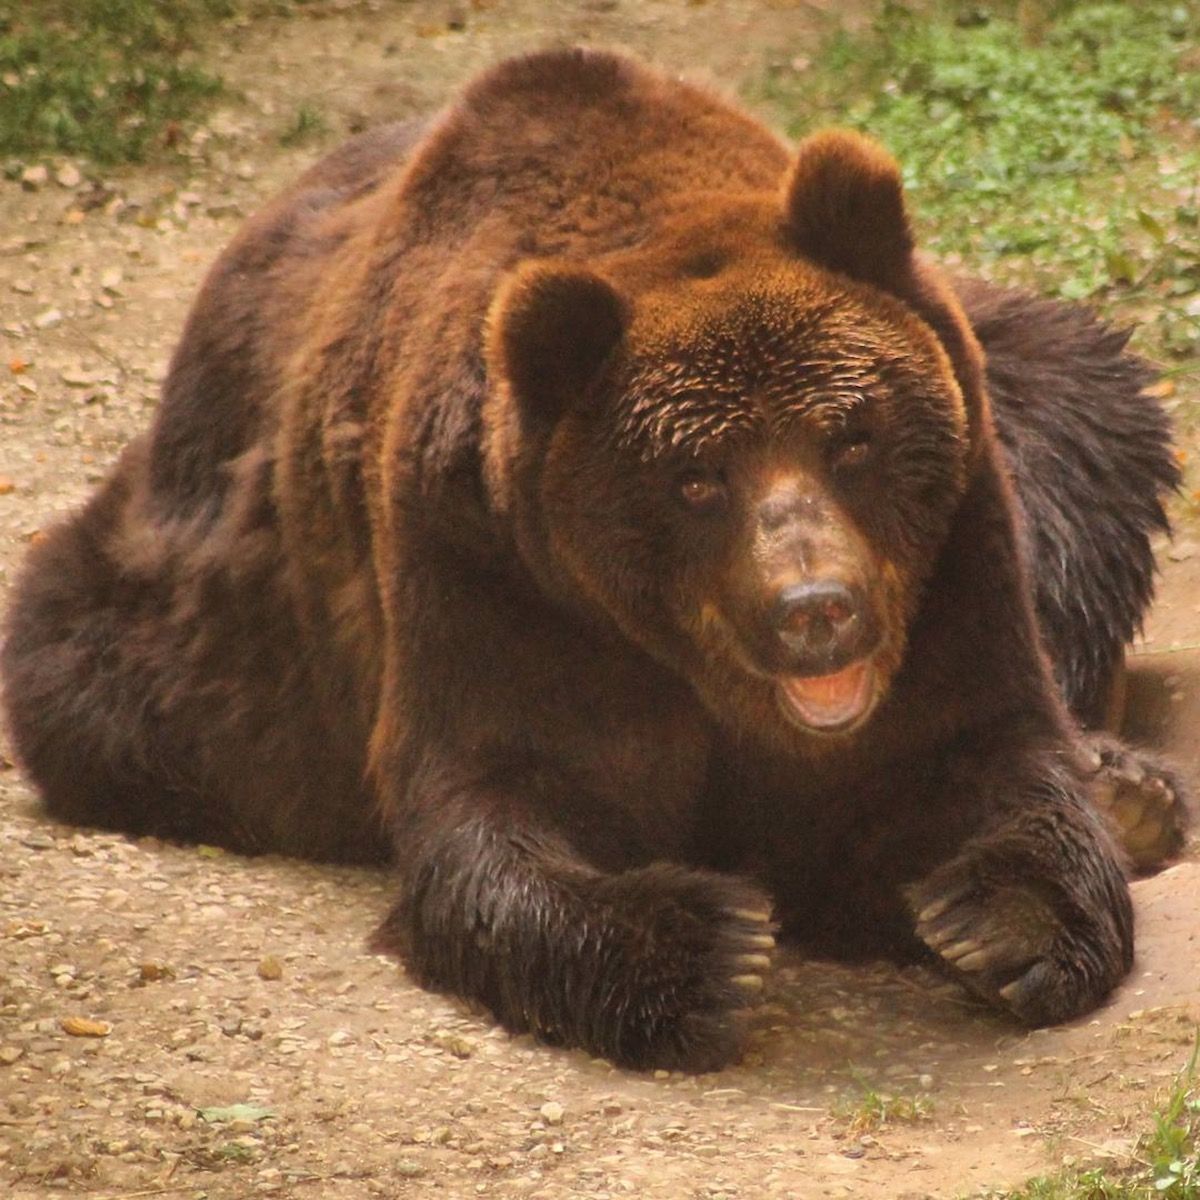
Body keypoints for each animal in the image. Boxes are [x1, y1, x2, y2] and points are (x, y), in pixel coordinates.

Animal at [0, 51, 1180, 1075]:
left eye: (851, 437)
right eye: (697, 477)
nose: (818, 609)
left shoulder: (953, 545)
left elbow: (982, 749)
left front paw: (1003, 915)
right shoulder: (493, 575)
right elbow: (504, 800)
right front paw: (711, 949)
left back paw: (1130, 787)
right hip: (203, 610)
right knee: (95, 678)